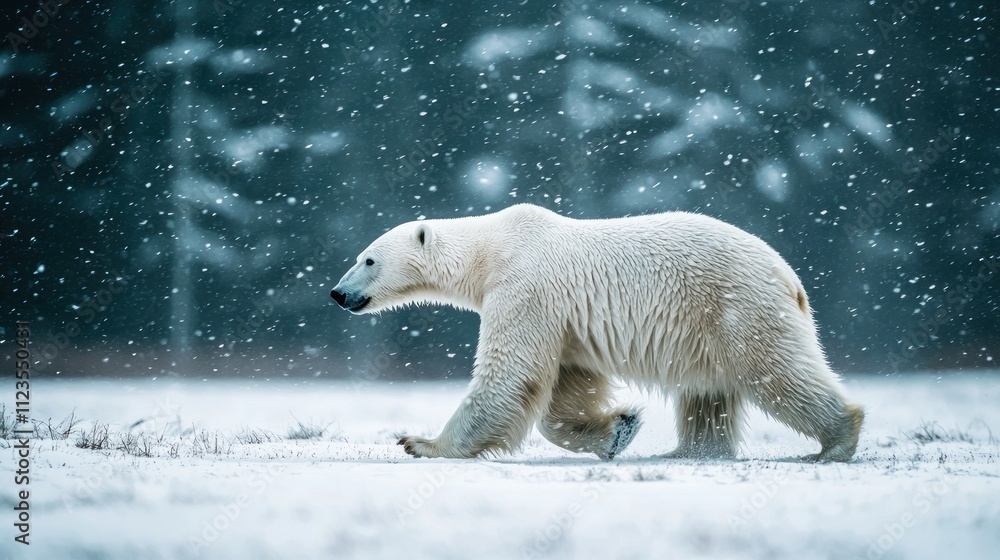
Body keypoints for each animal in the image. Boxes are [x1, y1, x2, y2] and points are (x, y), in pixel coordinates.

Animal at [331, 204, 864, 462]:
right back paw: (685, 450)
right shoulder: (563, 320)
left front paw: (421, 443)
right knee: (707, 393)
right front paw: (617, 430)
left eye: (368, 259)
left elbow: (510, 376)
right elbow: (567, 386)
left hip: (735, 305)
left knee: (775, 371)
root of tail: (791, 278)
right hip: (709, 328)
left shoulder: (525, 289)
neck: (492, 249)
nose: (338, 293)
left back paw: (835, 442)